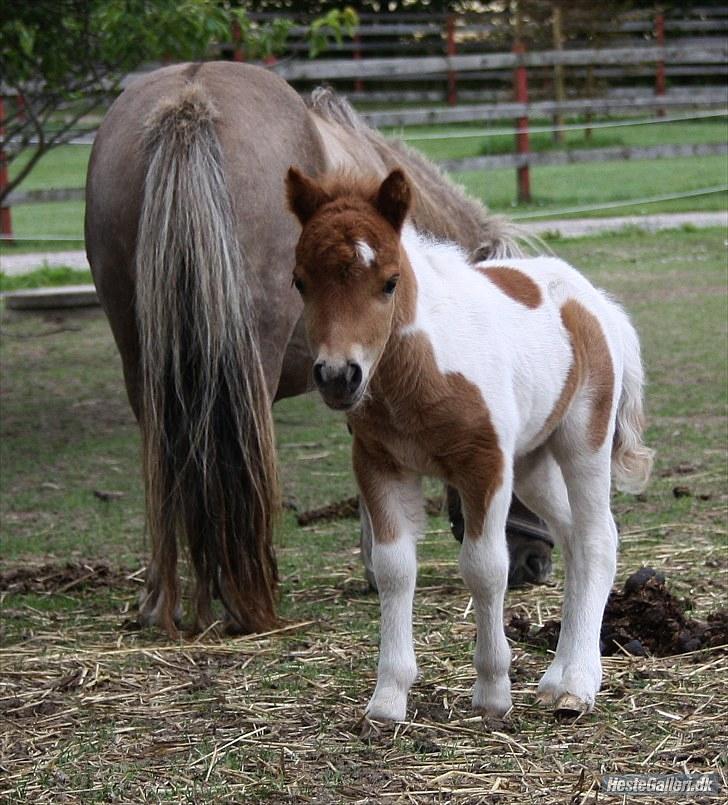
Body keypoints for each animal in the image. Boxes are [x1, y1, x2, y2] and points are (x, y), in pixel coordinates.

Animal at [85, 59, 548, 636]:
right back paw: (242, 600)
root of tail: (191, 98)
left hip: (144, 367)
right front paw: (376, 565)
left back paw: (160, 600)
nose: (536, 562)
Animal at [286, 166, 656, 720]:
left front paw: (492, 693)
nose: (337, 376)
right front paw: (388, 699)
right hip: (531, 462)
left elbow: (484, 568)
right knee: (572, 539)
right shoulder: (378, 463)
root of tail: (597, 303)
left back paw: (577, 684)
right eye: (300, 282)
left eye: (389, 282)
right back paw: (557, 676)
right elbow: (395, 569)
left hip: (582, 443)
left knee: (597, 539)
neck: (419, 370)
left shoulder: (484, 464)